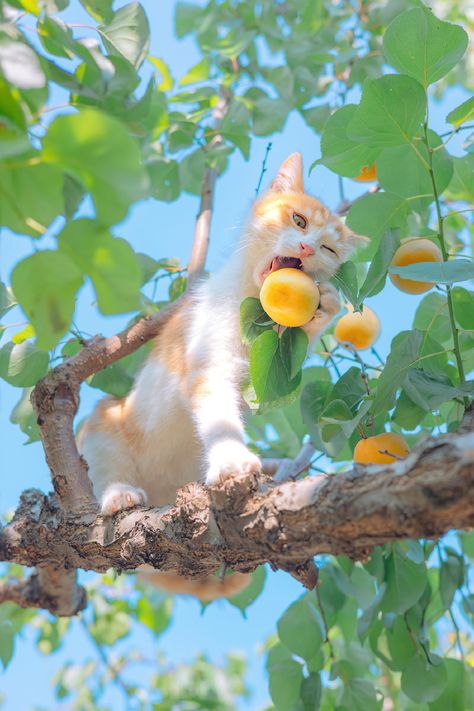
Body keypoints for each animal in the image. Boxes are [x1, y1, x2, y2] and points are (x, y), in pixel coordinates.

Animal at [78, 154, 366, 600]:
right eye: (299, 221)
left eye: (330, 248)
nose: (306, 248)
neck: (249, 302)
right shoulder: (208, 366)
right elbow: (218, 418)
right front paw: (231, 460)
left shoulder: (263, 372)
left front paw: (324, 308)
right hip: (105, 419)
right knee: (106, 464)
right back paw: (119, 495)